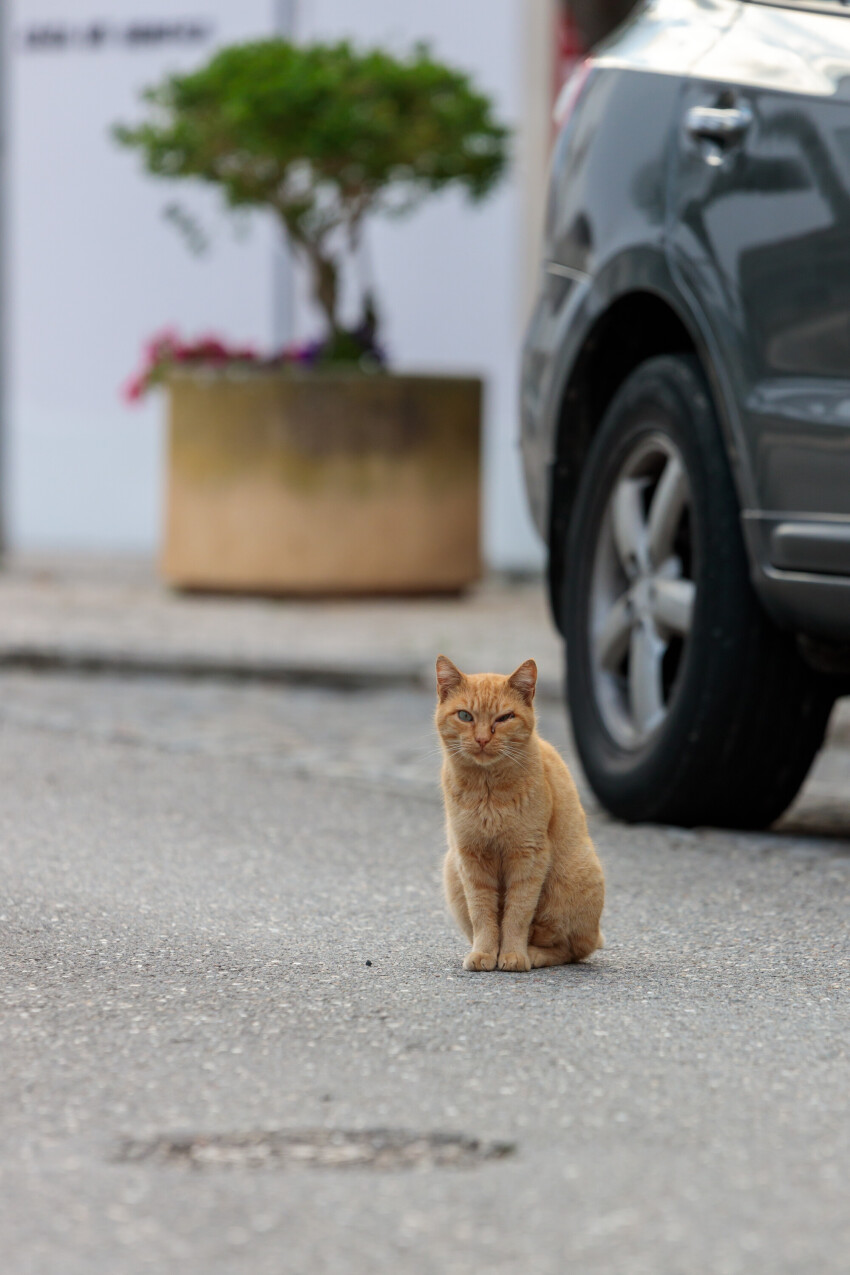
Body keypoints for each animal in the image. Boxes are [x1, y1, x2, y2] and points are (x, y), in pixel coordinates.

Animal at [438, 652, 604, 969]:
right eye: (465, 716)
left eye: (504, 718)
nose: (482, 739)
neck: (488, 790)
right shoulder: (471, 859)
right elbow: (483, 914)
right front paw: (484, 953)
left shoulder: (528, 856)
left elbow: (517, 914)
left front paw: (513, 955)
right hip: (452, 872)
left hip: (568, 883)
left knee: (572, 949)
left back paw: (533, 954)